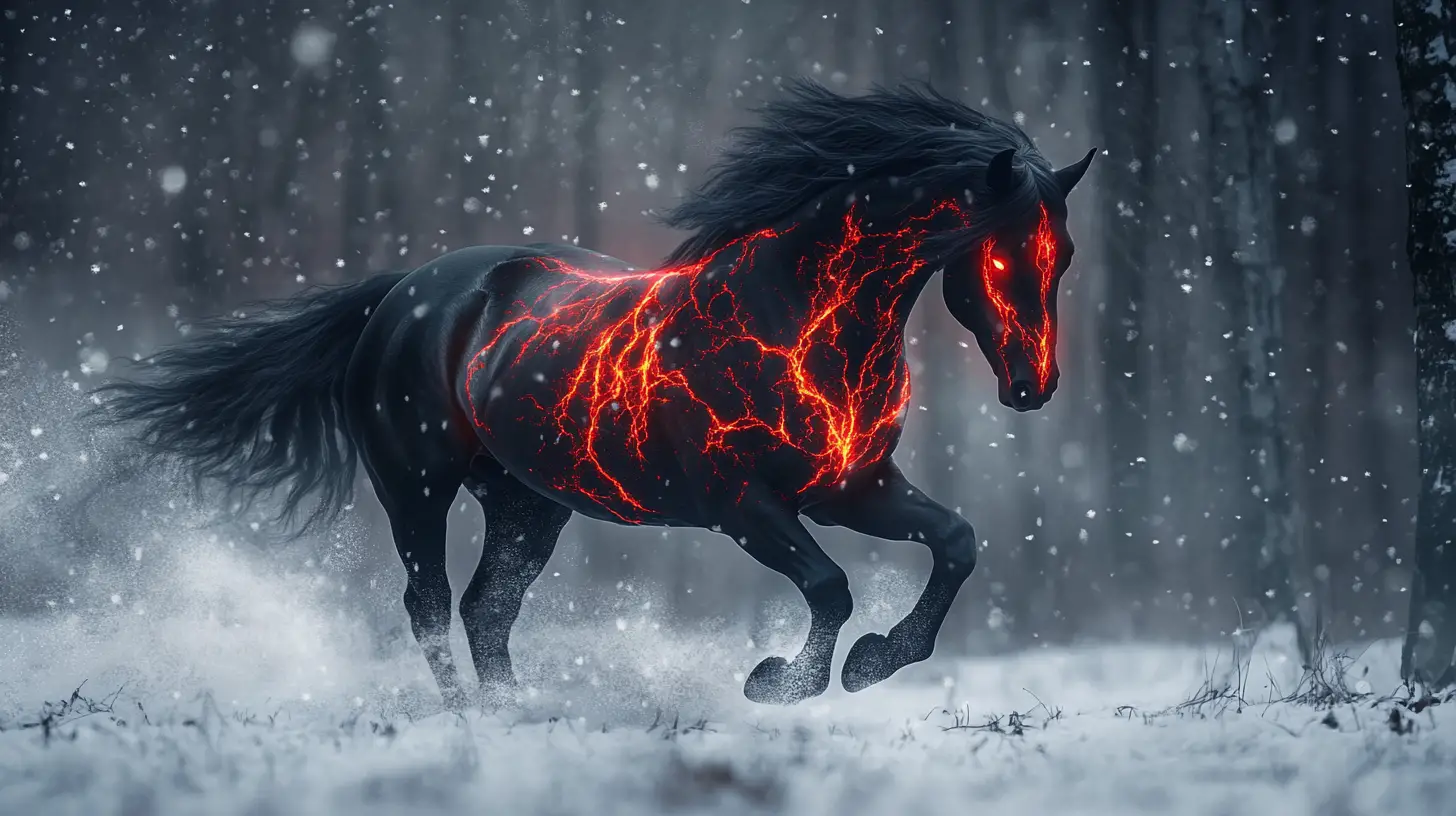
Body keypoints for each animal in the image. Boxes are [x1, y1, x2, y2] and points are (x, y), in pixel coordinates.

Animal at [94, 82, 1094, 709]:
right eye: (998, 257)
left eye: (1064, 256)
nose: (1033, 388)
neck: (796, 316)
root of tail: (405, 291)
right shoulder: (742, 504)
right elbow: (831, 586)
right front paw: (783, 681)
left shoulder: (852, 488)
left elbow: (955, 544)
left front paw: (877, 664)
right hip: (414, 487)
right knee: (429, 603)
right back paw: (468, 717)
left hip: (528, 502)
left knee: (486, 608)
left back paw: (515, 709)